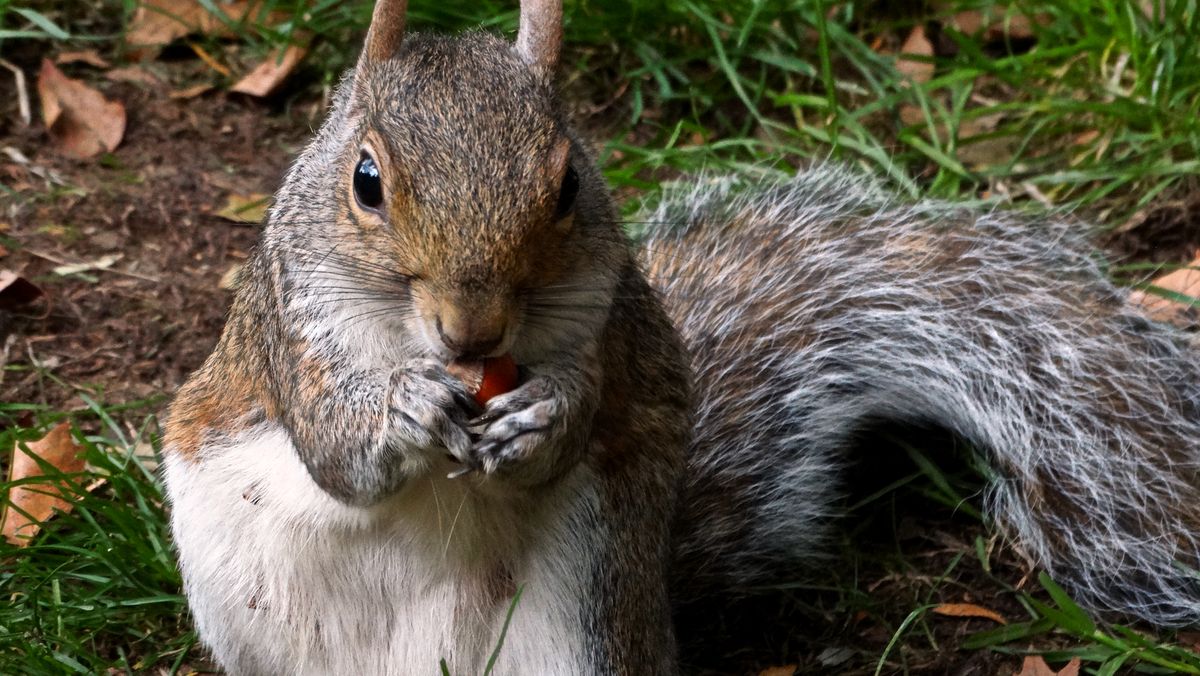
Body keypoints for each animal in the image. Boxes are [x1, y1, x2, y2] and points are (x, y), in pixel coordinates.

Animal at [161, 0, 1200, 673]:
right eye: (366, 180)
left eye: (569, 184)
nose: (473, 326)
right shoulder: (290, 332)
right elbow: (338, 454)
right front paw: (403, 411)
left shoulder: (609, 332)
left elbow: (573, 420)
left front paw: (544, 418)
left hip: (584, 628)